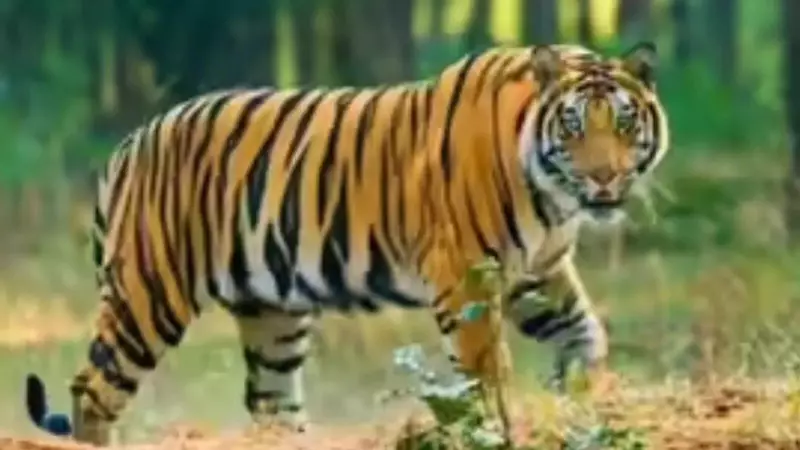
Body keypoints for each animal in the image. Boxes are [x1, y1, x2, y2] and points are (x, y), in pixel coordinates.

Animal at [23, 41, 668, 445]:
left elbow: (585, 333)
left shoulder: (538, 274)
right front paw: (500, 431)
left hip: (272, 314)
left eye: (624, 124)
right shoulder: (467, 277)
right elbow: (485, 376)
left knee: (272, 404)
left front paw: (582, 399)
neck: (552, 195)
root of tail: (130, 144)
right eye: (574, 127)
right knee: (92, 390)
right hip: (149, 295)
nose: (604, 179)